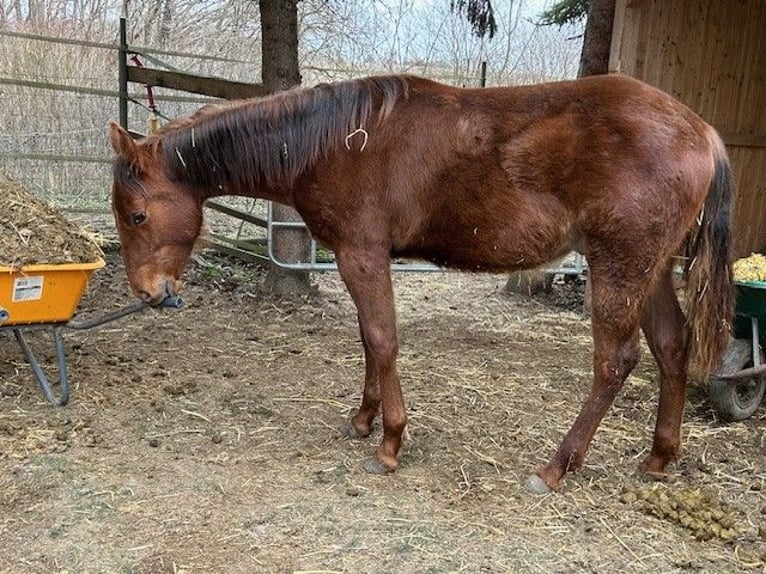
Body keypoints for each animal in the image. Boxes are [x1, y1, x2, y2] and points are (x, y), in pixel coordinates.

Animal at [109, 73, 734, 493]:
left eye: (137, 215)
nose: (148, 293)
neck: (336, 141)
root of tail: (703, 132)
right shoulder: (359, 258)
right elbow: (368, 339)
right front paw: (363, 421)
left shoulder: (361, 254)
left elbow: (383, 340)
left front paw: (389, 443)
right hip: (650, 270)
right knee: (672, 346)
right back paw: (658, 458)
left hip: (618, 267)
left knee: (615, 362)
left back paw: (556, 466)